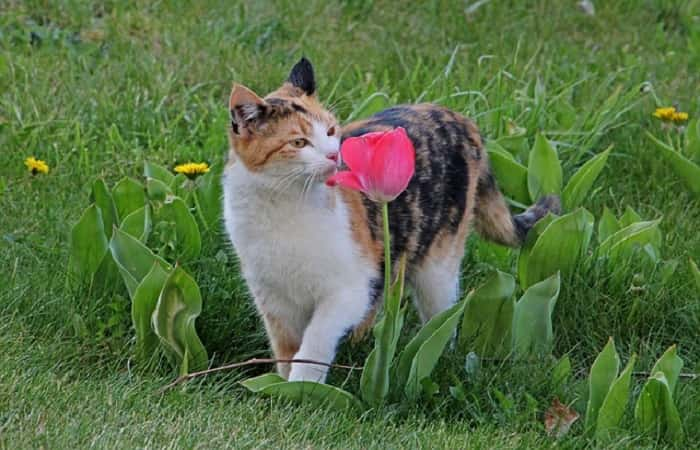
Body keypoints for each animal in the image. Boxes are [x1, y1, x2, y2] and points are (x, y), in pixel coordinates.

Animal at [220, 58, 556, 384]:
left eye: (330, 131)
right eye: (299, 143)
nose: (334, 155)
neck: (284, 206)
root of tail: (459, 118)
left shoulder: (351, 288)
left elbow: (317, 336)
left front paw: (302, 384)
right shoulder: (274, 301)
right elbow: (286, 350)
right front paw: (284, 386)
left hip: (437, 267)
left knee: (441, 319)